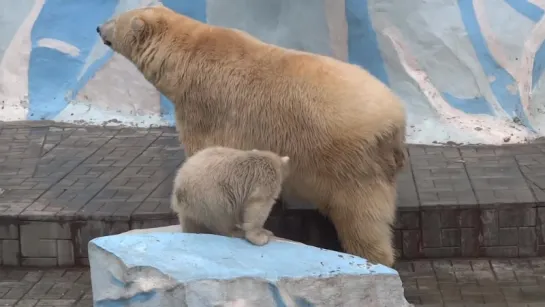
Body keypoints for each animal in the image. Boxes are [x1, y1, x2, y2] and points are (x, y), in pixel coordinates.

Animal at [98, 4, 406, 268]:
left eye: (116, 19)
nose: (99, 27)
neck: (187, 54)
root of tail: (396, 119)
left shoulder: (203, 106)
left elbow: (204, 151)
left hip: (352, 165)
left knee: (362, 218)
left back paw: (373, 257)